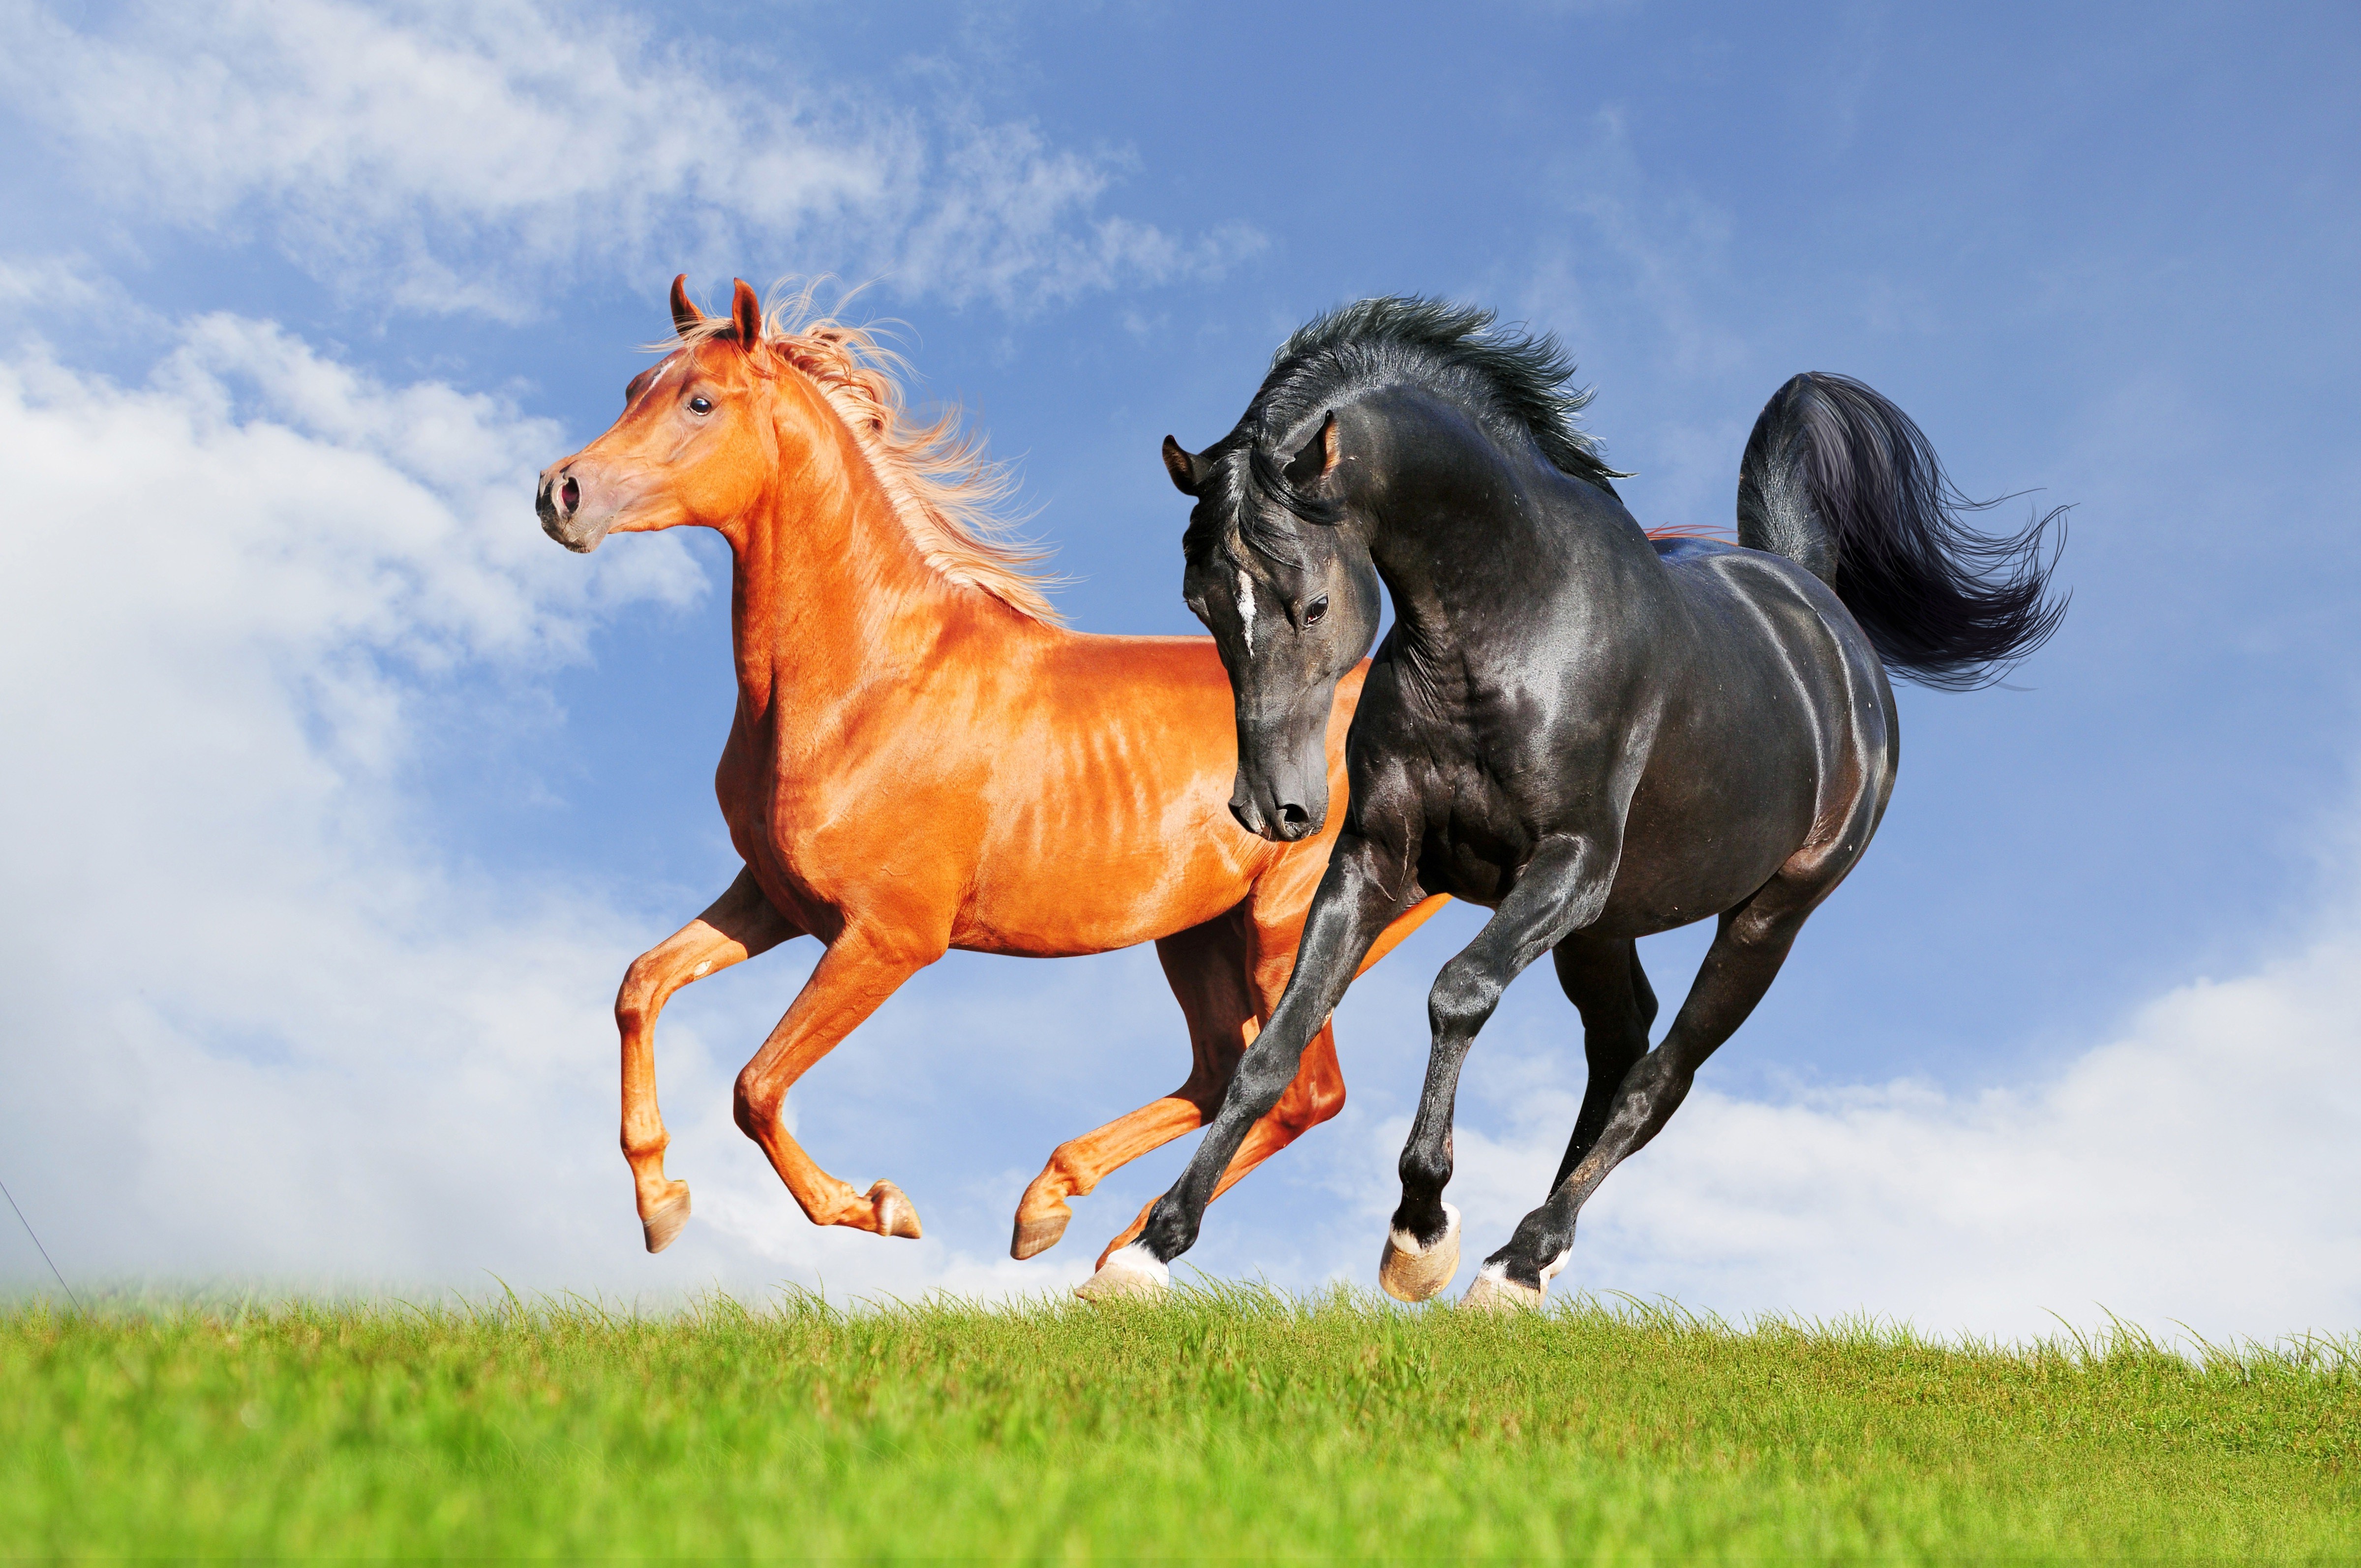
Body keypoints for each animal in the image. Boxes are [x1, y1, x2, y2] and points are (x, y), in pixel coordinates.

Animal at [534, 277, 1448, 1266]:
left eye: (700, 402)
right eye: (635, 388)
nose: (560, 492)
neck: (870, 682)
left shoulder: (890, 939)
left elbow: (757, 1085)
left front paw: (878, 1206)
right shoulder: (777, 898)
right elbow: (641, 985)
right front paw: (660, 1200)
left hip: (1291, 930)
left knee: (1297, 1090)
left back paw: (1126, 1249)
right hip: (1199, 934)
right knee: (1219, 1070)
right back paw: (1058, 1210)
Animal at [1083, 296, 2065, 1305]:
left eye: (1313, 605)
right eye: (1201, 604)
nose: (1272, 810)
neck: (1508, 627)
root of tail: (1820, 616)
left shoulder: (1569, 865)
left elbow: (1458, 993)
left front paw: (1420, 1232)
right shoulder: (1377, 861)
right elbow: (1273, 1045)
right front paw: (1148, 1247)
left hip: (1765, 919)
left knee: (1660, 1077)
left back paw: (1520, 1258)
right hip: (1607, 926)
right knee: (1622, 1046)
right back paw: (1529, 1257)